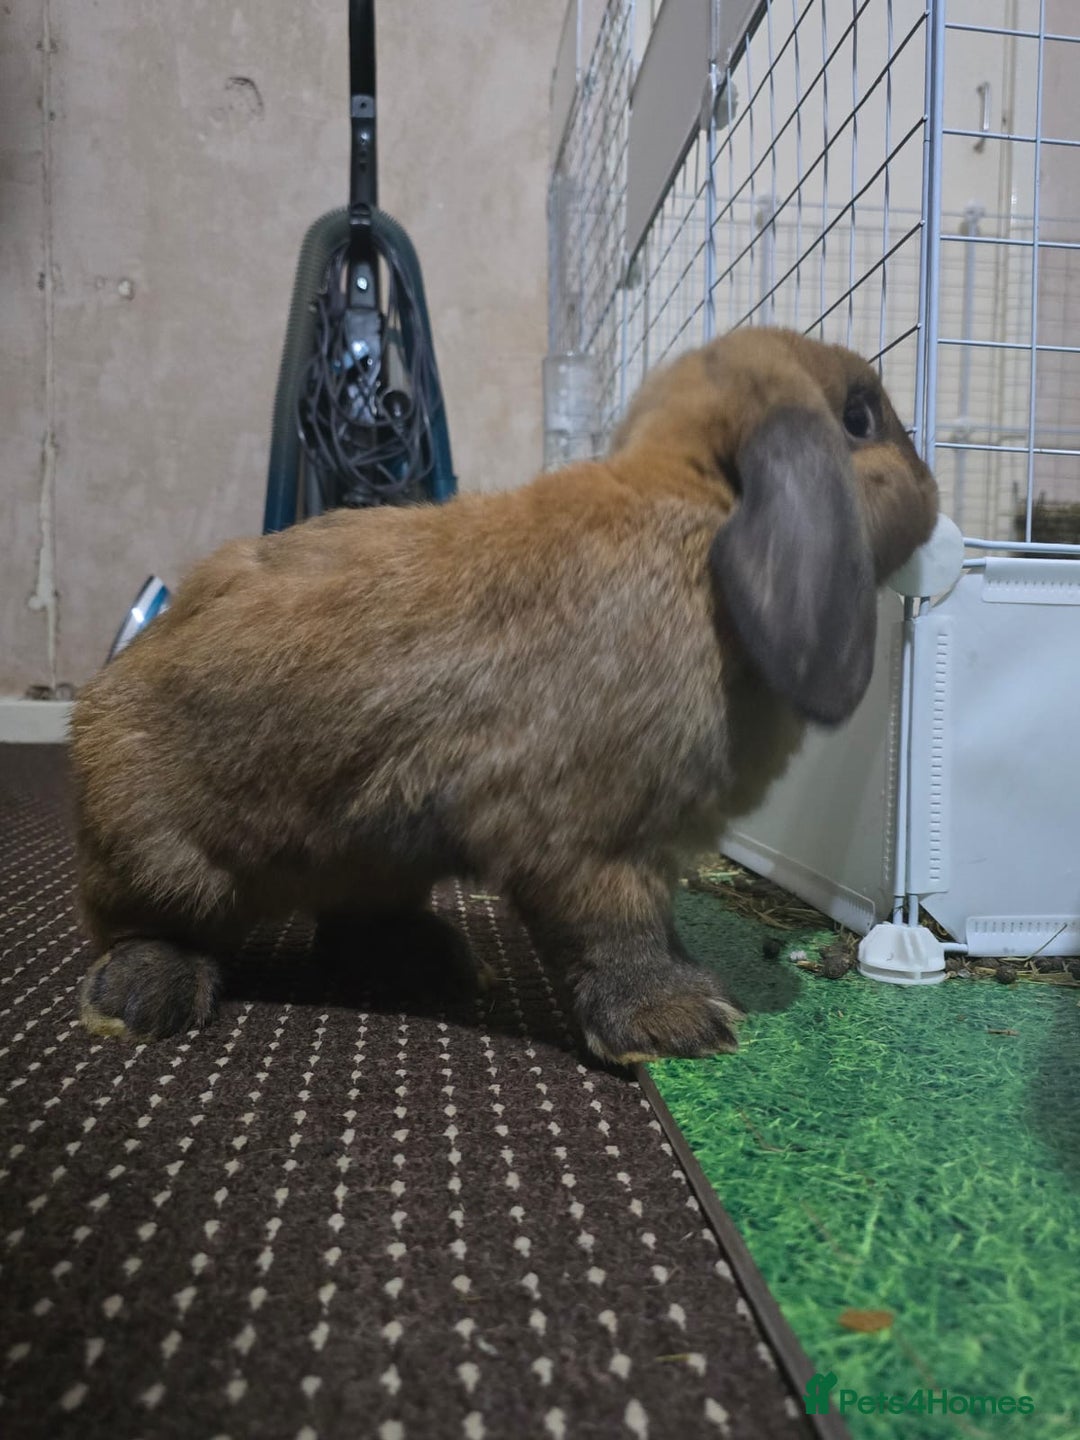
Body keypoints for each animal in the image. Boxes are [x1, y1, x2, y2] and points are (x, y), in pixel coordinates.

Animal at [70, 326, 938, 1064]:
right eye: (860, 418)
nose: (932, 486)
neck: (700, 514)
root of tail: (101, 700)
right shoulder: (594, 841)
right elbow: (621, 930)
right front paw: (682, 1023)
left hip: (372, 854)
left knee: (350, 921)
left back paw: (438, 961)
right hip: (167, 859)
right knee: (140, 926)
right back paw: (144, 999)